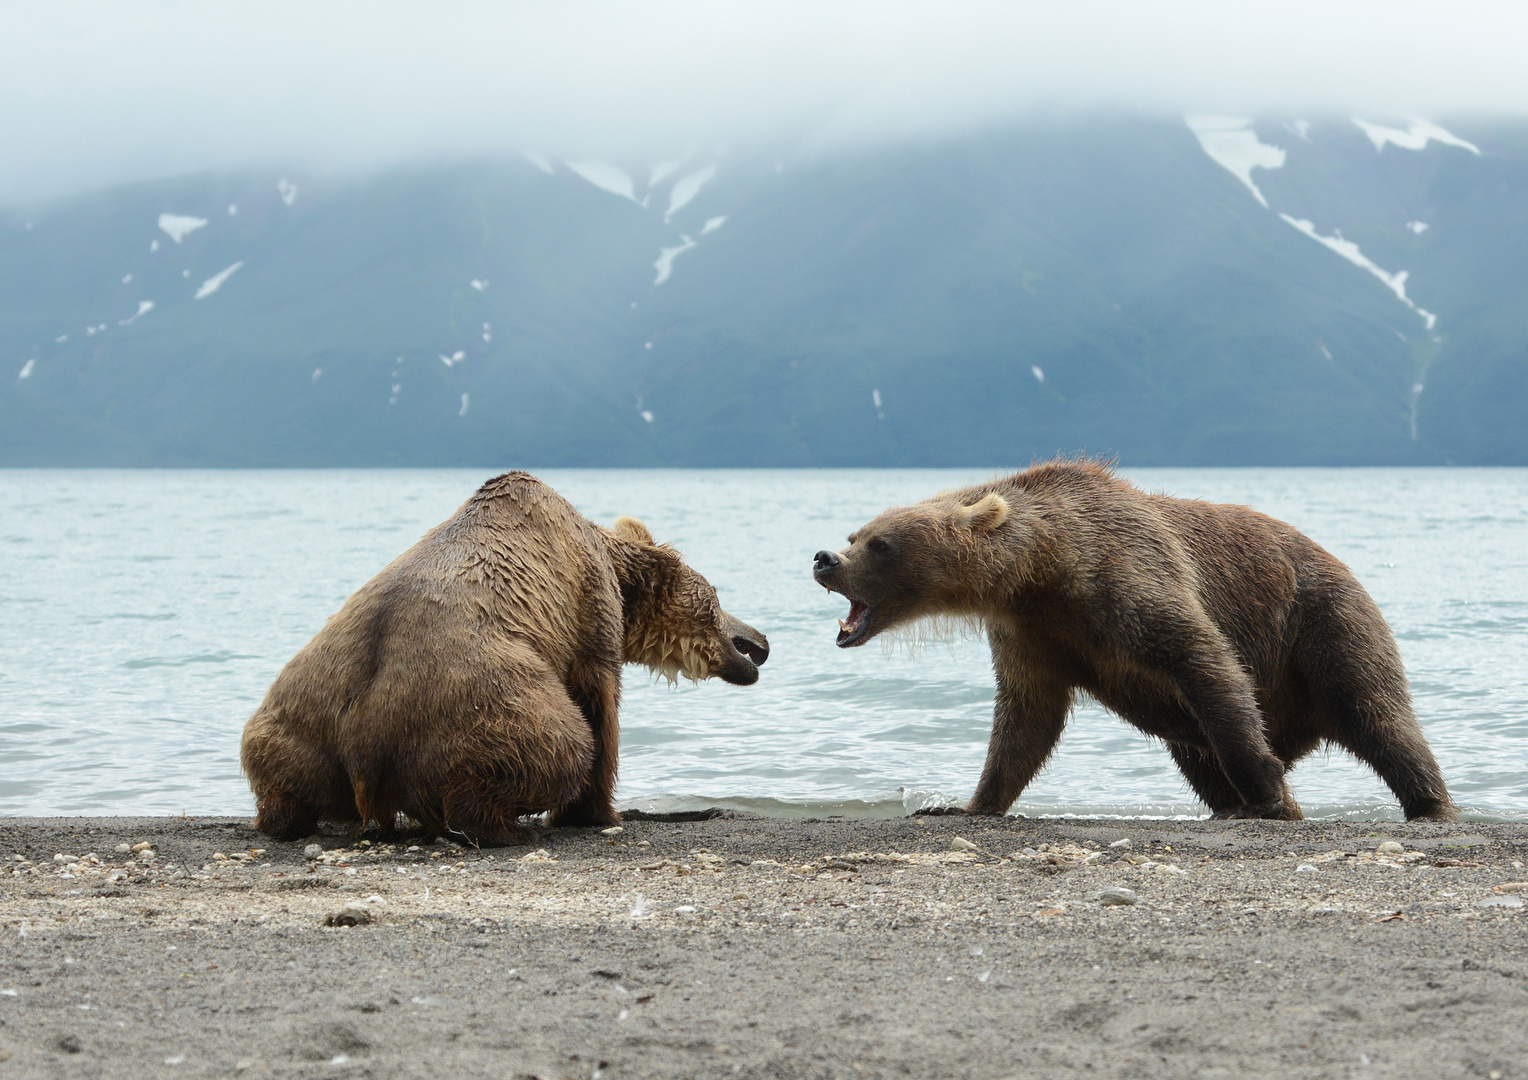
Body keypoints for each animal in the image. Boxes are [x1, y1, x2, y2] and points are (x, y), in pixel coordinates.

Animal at [244, 473, 770, 843]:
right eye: (717, 598)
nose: (759, 641)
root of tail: (361, 743)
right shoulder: (587, 608)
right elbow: (599, 704)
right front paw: (597, 812)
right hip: (478, 700)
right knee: (559, 743)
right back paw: (500, 827)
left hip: (296, 717)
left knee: (276, 773)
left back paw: (284, 817)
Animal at [812, 461, 1454, 824]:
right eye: (856, 533)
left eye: (881, 544)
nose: (824, 558)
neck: (1043, 568)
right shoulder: (1033, 634)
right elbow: (1025, 721)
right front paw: (965, 802)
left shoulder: (1127, 577)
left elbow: (1206, 662)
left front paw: (1270, 794)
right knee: (1194, 753)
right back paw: (1238, 805)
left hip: (1323, 620)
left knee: (1375, 712)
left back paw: (1427, 804)